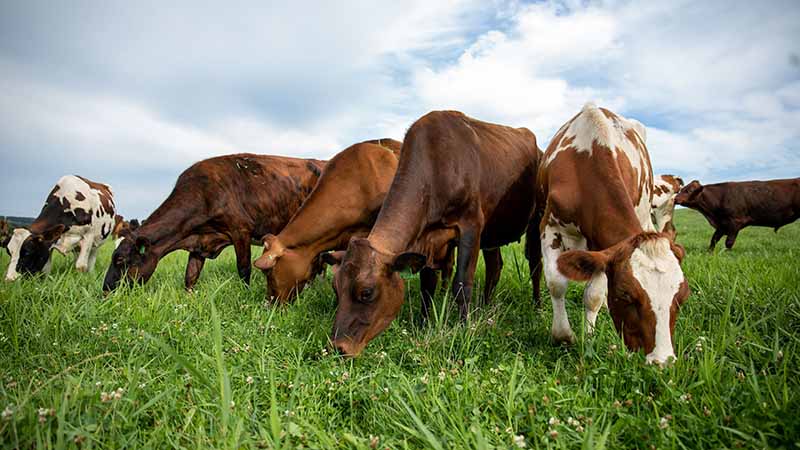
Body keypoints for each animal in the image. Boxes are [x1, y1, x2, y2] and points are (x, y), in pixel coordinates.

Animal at [102, 153, 324, 292]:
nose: (105, 290)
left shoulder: (240, 230)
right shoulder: (199, 243)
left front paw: (246, 295)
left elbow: (244, 269)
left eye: (120, 260)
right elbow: (190, 276)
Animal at [324, 110, 544, 356]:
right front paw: (423, 324)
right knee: (495, 266)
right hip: (493, 232)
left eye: (366, 292)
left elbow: (462, 283)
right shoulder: (427, 239)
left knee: (535, 265)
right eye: (336, 289)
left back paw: (537, 306)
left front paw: (464, 327)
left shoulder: (471, 225)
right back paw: (486, 306)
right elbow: (427, 284)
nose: (338, 347)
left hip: (536, 220)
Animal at [536, 103, 692, 364]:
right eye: (626, 295)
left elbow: (594, 295)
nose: (662, 361)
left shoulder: (604, 247)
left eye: (681, 297)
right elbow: (557, 283)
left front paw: (588, 336)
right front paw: (563, 335)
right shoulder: (550, 227)